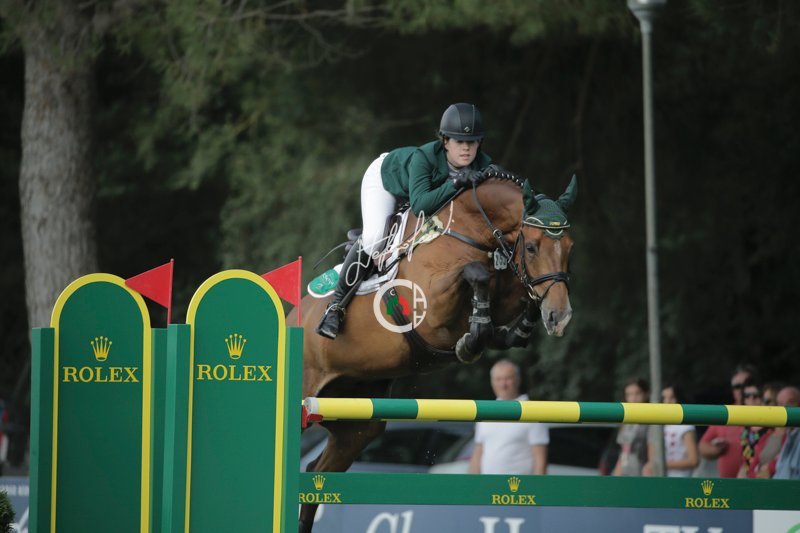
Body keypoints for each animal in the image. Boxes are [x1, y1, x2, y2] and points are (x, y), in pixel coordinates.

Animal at [288, 174, 576, 532]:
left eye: (570, 247)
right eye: (533, 247)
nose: (560, 316)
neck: (471, 230)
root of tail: (291, 317)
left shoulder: (508, 288)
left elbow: (512, 297)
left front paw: (510, 329)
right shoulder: (432, 307)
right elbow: (476, 273)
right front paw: (472, 340)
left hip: (357, 425)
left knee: (317, 473)